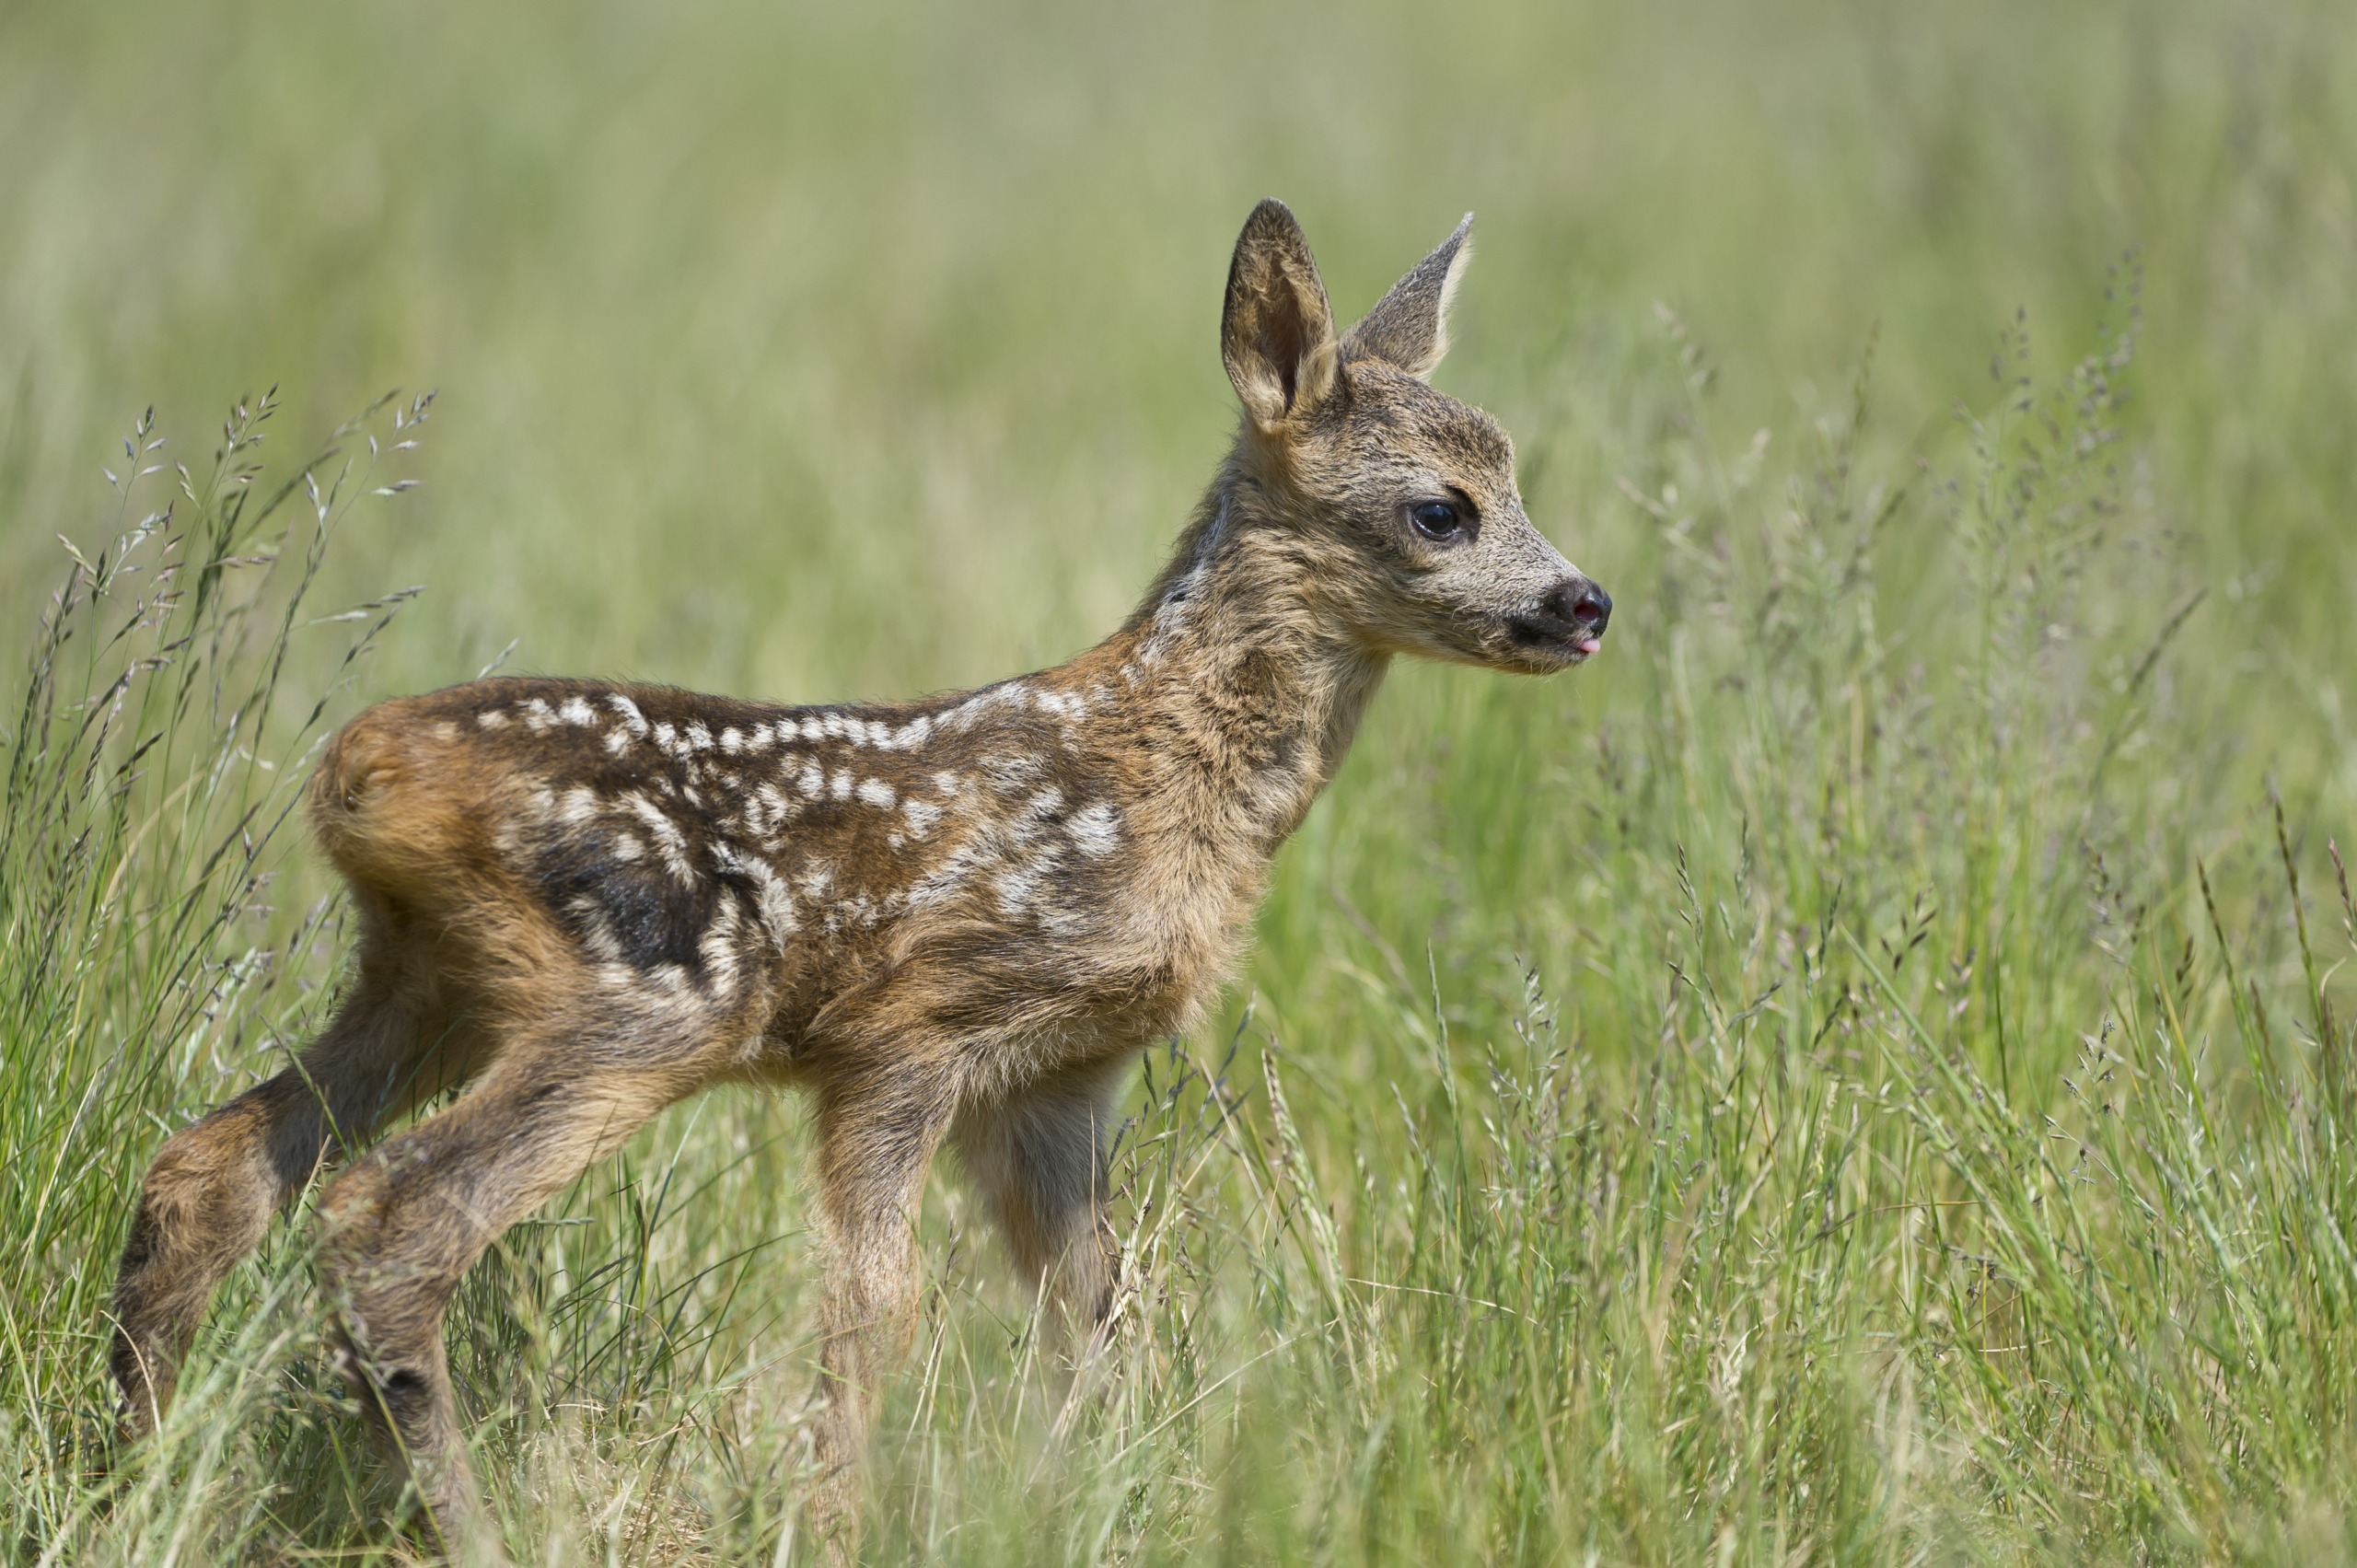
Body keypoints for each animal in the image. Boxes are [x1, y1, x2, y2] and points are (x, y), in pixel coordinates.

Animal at [119, 201, 1612, 1556]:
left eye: (1519, 480)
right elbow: (872, 1309)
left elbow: (1094, 1316)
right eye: (1441, 509)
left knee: (214, 1164)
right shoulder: (908, 1030)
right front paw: (837, 1520)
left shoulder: (1061, 1078)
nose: (1585, 602)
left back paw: (132, 1467)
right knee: (397, 1213)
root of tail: (360, 761)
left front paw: (1117, 1499)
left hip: (432, 983)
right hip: (647, 990)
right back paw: (466, 1525)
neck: (1156, 779)